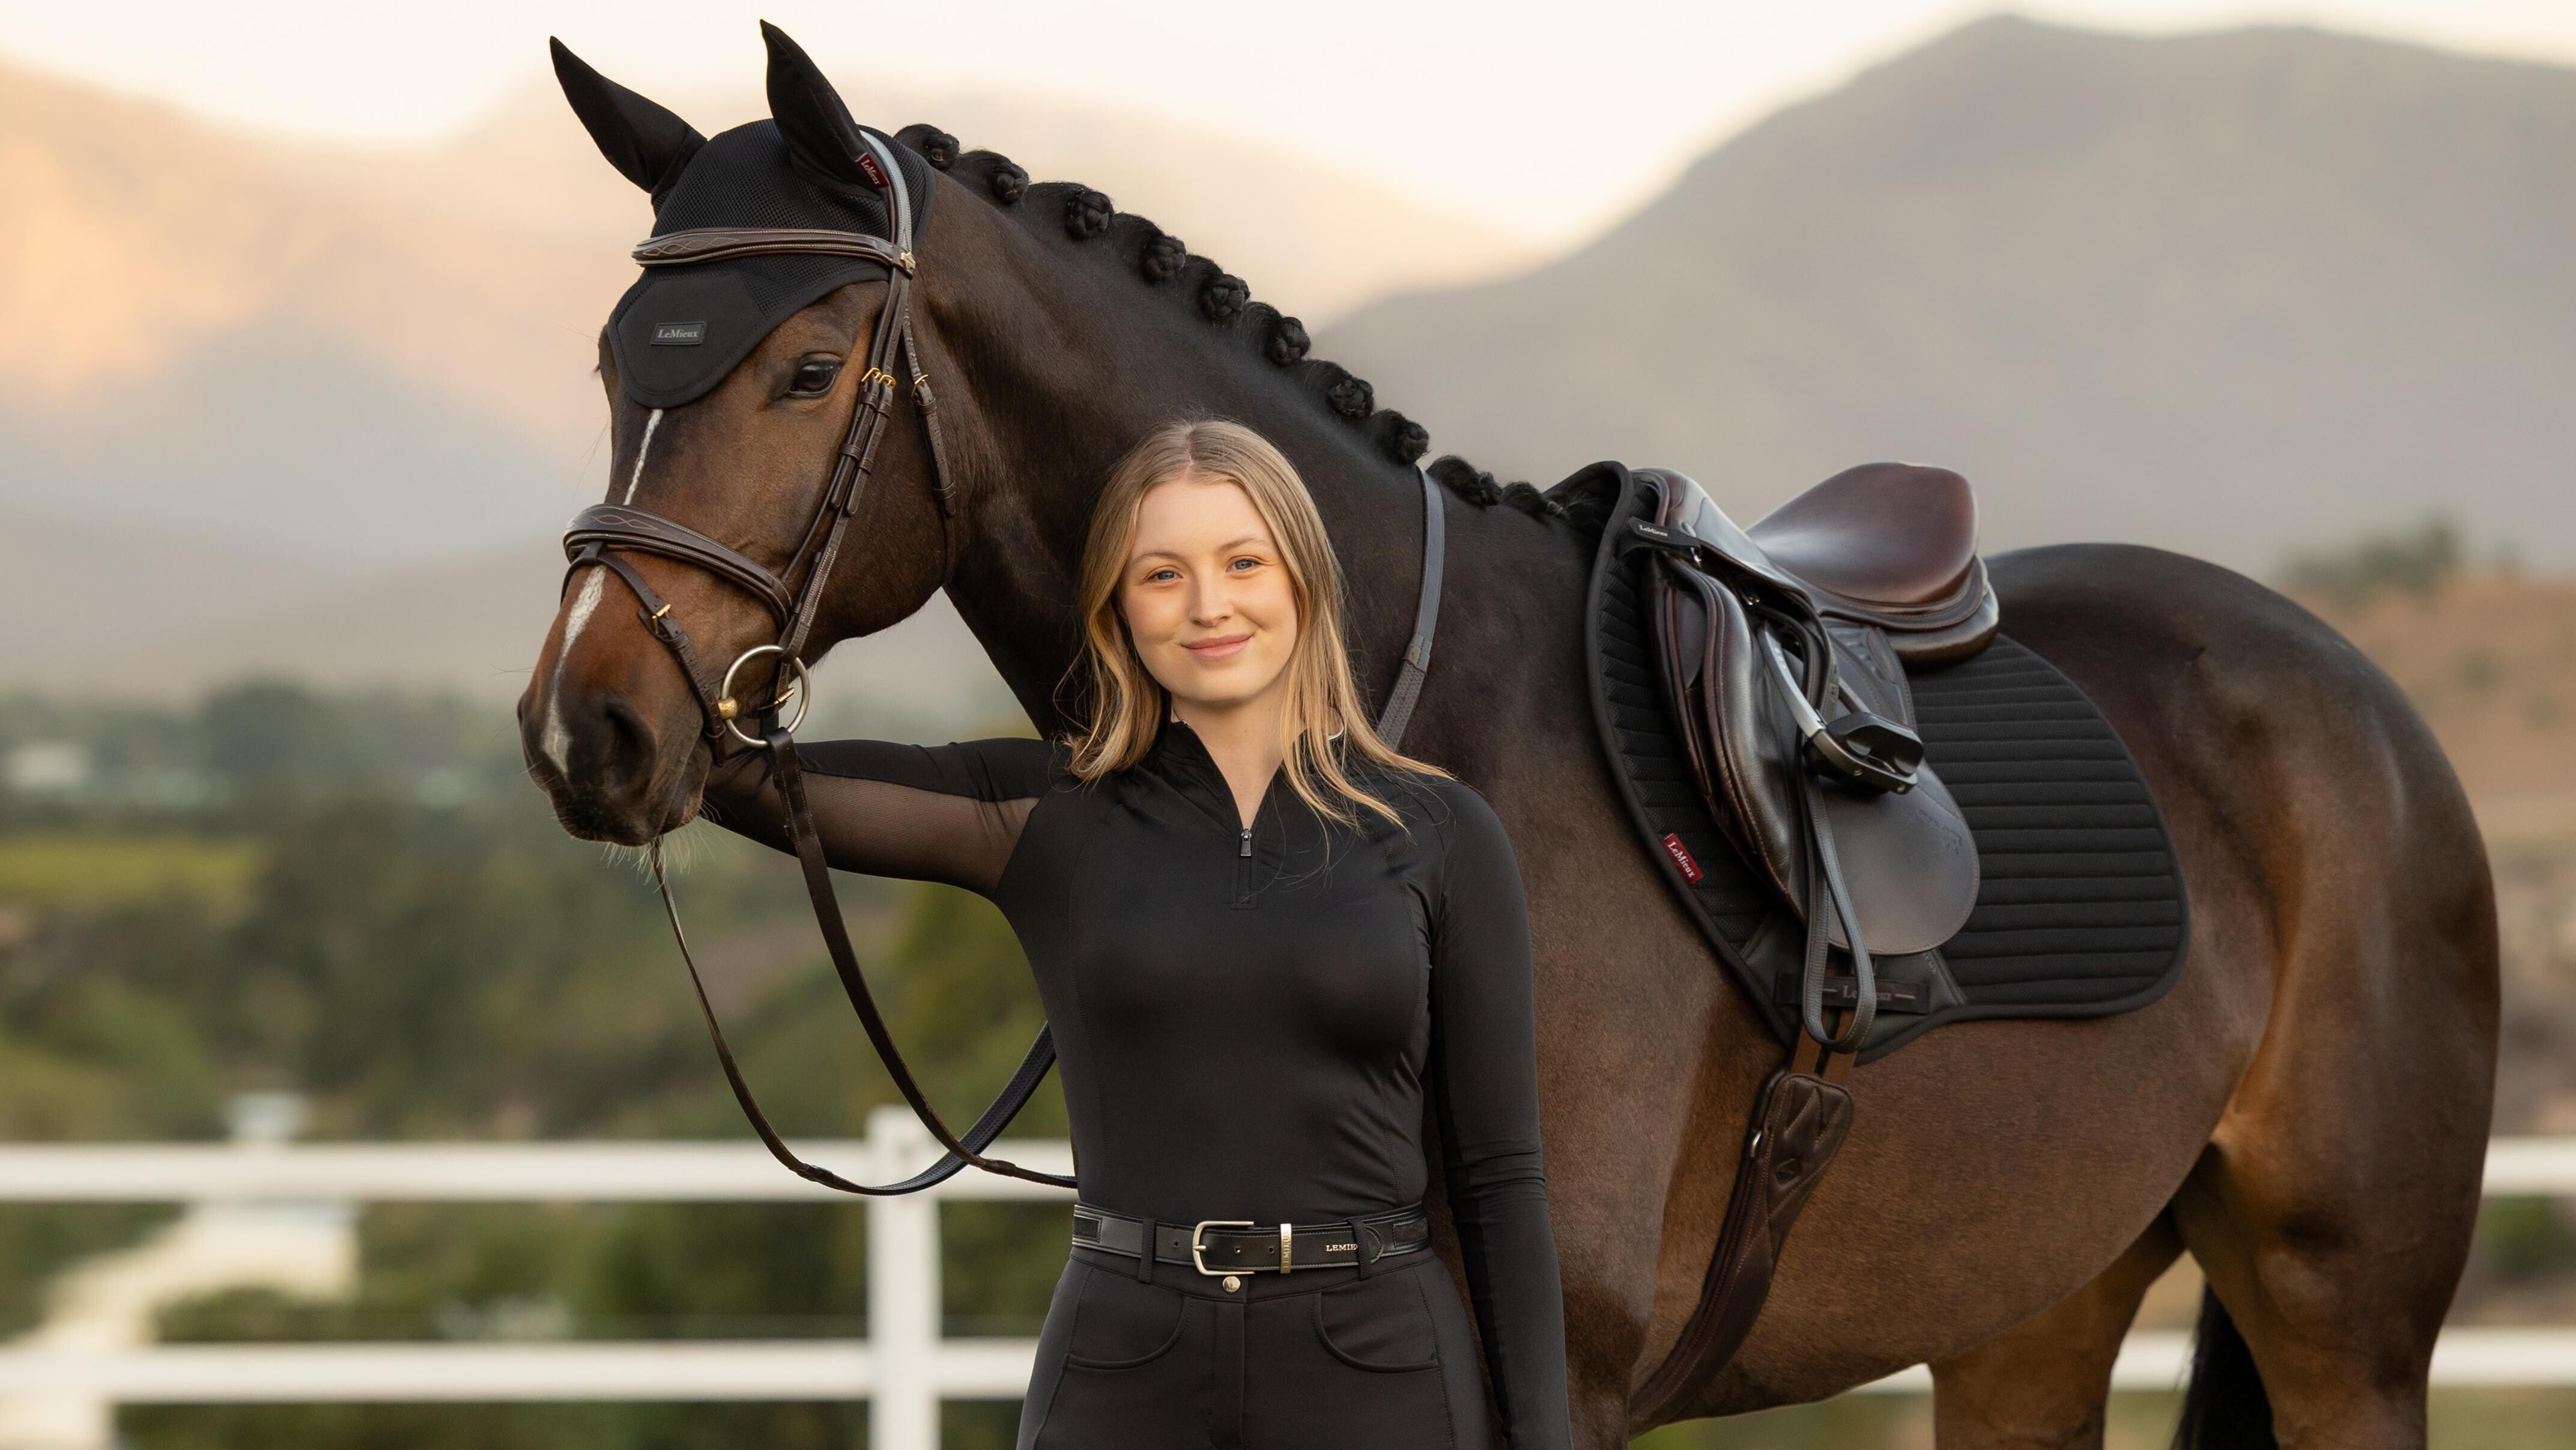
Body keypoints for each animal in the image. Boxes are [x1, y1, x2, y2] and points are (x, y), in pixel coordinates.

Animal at [518, 28, 2498, 1447]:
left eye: (801, 372)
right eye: (614, 363)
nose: (584, 726)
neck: (1393, 709)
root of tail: (2357, 701)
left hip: (2341, 1324)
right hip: (2032, 1310)